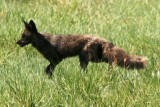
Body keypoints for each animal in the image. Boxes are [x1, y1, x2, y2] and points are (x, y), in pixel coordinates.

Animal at [15, 19, 148, 76]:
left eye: (24, 36)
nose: (17, 42)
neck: (43, 42)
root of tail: (100, 38)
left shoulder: (56, 60)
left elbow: (48, 70)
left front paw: (49, 78)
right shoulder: (54, 61)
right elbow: (47, 70)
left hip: (85, 59)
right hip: (97, 58)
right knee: (113, 60)